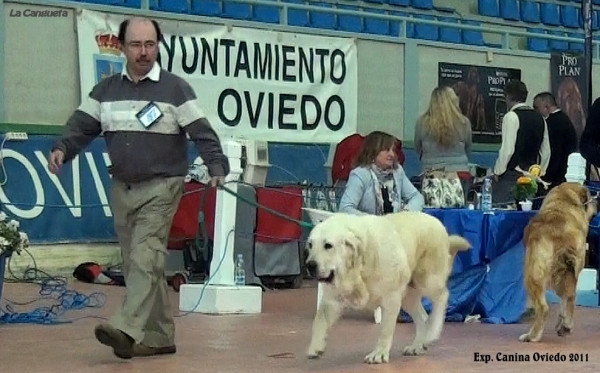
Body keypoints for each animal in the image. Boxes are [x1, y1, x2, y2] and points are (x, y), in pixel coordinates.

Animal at [308, 211, 472, 362]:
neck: (359, 265)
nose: (310, 264)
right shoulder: (332, 299)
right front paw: (315, 347)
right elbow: (319, 319)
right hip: (408, 296)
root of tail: (438, 223)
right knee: (423, 317)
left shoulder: (391, 298)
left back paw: (432, 332)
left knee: (442, 296)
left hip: (426, 280)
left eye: (328, 246)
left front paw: (379, 353)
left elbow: (385, 329)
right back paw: (418, 344)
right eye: (310, 245)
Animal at [516, 182, 596, 342]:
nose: (597, 201)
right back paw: (565, 326)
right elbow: (564, 301)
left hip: (533, 272)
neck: (564, 201)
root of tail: (561, 235)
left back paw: (532, 335)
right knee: (570, 298)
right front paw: (562, 323)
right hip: (569, 272)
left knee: (543, 307)